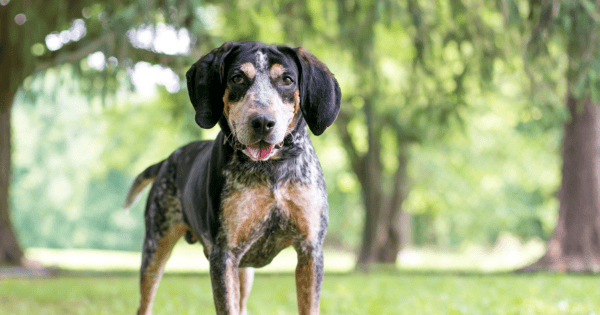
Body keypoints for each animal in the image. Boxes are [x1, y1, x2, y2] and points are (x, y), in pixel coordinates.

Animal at [125, 40, 342, 314]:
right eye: (237, 78)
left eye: (287, 80)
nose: (262, 122)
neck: (271, 170)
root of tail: (167, 160)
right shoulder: (224, 254)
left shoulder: (310, 252)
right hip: (155, 249)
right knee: (145, 301)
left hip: (244, 270)